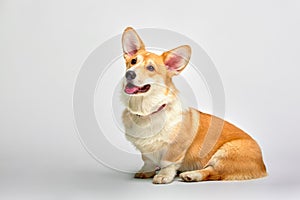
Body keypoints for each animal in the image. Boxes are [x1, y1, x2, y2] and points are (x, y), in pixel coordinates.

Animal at [120, 27, 266, 184]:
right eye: (133, 61)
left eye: (151, 68)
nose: (129, 74)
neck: (147, 111)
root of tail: (263, 166)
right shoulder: (146, 152)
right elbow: (148, 161)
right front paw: (145, 171)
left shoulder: (175, 148)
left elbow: (168, 163)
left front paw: (164, 175)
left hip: (225, 152)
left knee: (214, 172)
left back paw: (192, 175)